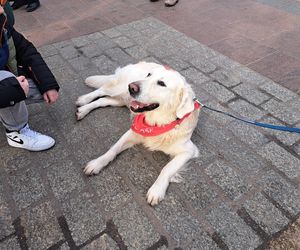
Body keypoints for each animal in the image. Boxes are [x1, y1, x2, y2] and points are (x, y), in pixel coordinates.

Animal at [76, 62, 200, 205]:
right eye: (149, 75)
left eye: (161, 83)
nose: (132, 87)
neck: (157, 123)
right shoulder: (132, 132)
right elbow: (113, 149)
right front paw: (97, 163)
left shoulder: (189, 150)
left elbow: (167, 168)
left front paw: (156, 190)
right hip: (119, 89)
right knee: (102, 90)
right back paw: (83, 100)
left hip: (122, 100)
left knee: (103, 100)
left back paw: (83, 110)